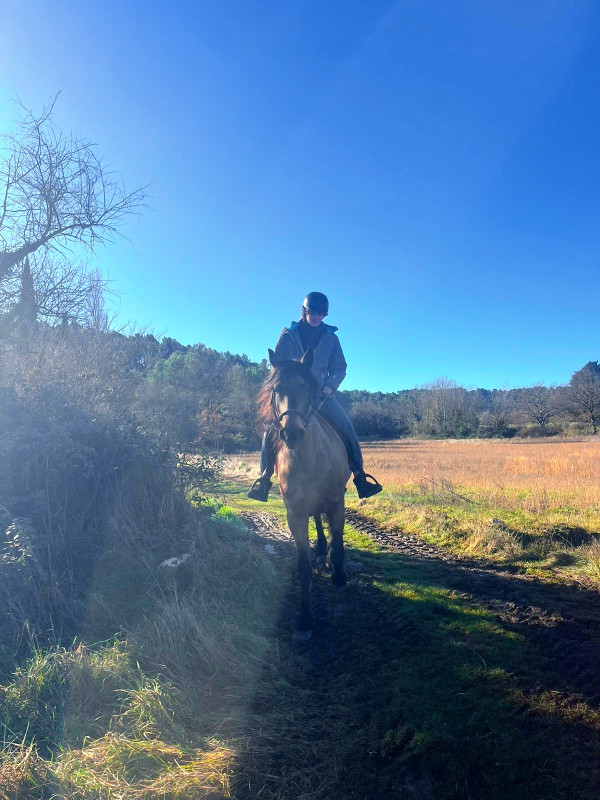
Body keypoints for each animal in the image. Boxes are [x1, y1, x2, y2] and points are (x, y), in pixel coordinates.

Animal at [259, 347, 350, 640]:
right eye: (276, 390)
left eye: (308, 389)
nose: (292, 433)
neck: (310, 458)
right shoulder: (295, 513)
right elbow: (303, 568)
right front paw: (305, 620)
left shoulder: (337, 504)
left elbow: (339, 546)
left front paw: (339, 576)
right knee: (318, 521)